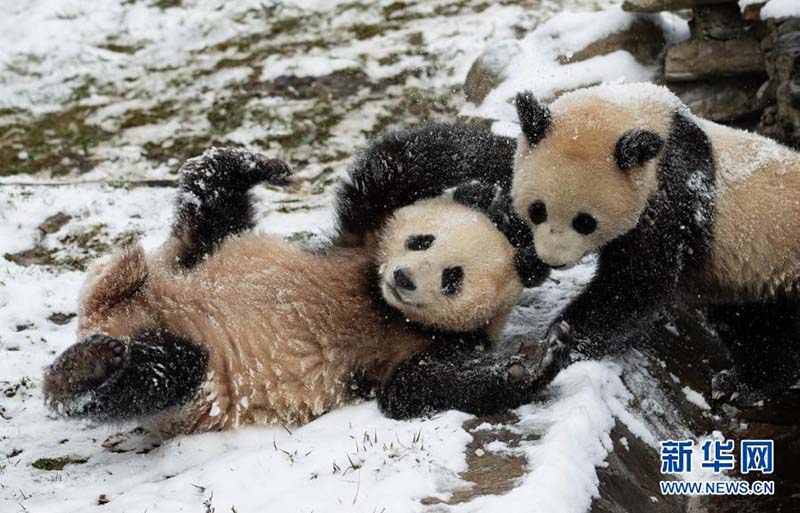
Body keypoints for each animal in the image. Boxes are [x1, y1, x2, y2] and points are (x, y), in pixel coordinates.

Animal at [45, 148, 568, 432]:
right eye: (421, 240)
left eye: (452, 277)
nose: (402, 278)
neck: (378, 301)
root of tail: (109, 312)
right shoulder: (361, 240)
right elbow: (397, 164)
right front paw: (504, 162)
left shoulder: (422, 345)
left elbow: (416, 387)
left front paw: (535, 362)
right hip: (196, 261)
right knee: (208, 206)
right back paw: (256, 164)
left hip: (201, 376)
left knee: (157, 374)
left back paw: (89, 365)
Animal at [510, 83, 800, 364]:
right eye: (538, 210)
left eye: (585, 222)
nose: (553, 260)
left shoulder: (671, 197)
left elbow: (637, 284)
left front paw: (562, 339)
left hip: (776, 264)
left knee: (772, 338)